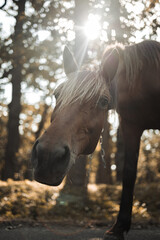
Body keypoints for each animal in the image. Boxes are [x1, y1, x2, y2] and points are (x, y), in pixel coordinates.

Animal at [31, 40, 160, 239]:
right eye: (56, 94)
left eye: (104, 101)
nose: (48, 156)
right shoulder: (131, 126)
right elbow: (129, 174)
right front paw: (118, 228)